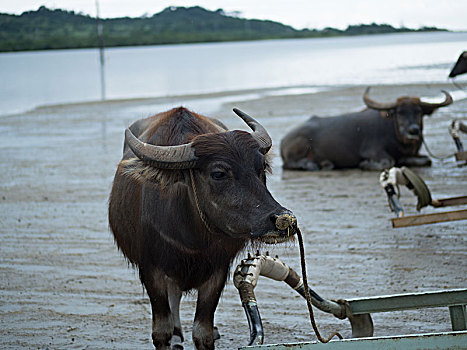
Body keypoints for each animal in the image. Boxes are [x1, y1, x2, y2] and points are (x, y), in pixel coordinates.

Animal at [109, 107, 296, 350]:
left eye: (261, 167)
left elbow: (202, 332)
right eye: (219, 173)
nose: (284, 219)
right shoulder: (151, 269)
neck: (191, 237)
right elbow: (161, 331)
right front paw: (171, 334)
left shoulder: (218, 269)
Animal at [282, 87, 454, 170]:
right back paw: (313, 165)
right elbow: (388, 161)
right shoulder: (372, 151)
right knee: (289, 164)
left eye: (419, 112)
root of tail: (283, 140)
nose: (413, 130)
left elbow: (426, 160)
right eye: (400, 112)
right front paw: (365, 164)